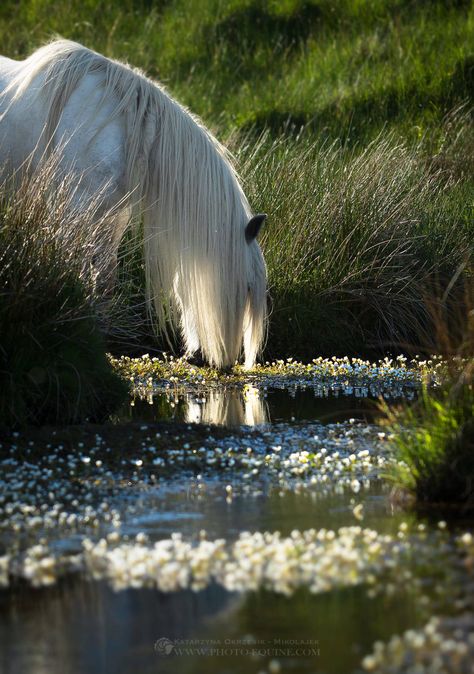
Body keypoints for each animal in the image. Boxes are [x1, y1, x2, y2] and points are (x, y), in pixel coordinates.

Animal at [0, 39, 266, 368]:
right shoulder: (72, 215)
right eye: (246, 289)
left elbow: (104, 282)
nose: (228, 364)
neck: (121, 129)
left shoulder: (110, 221)